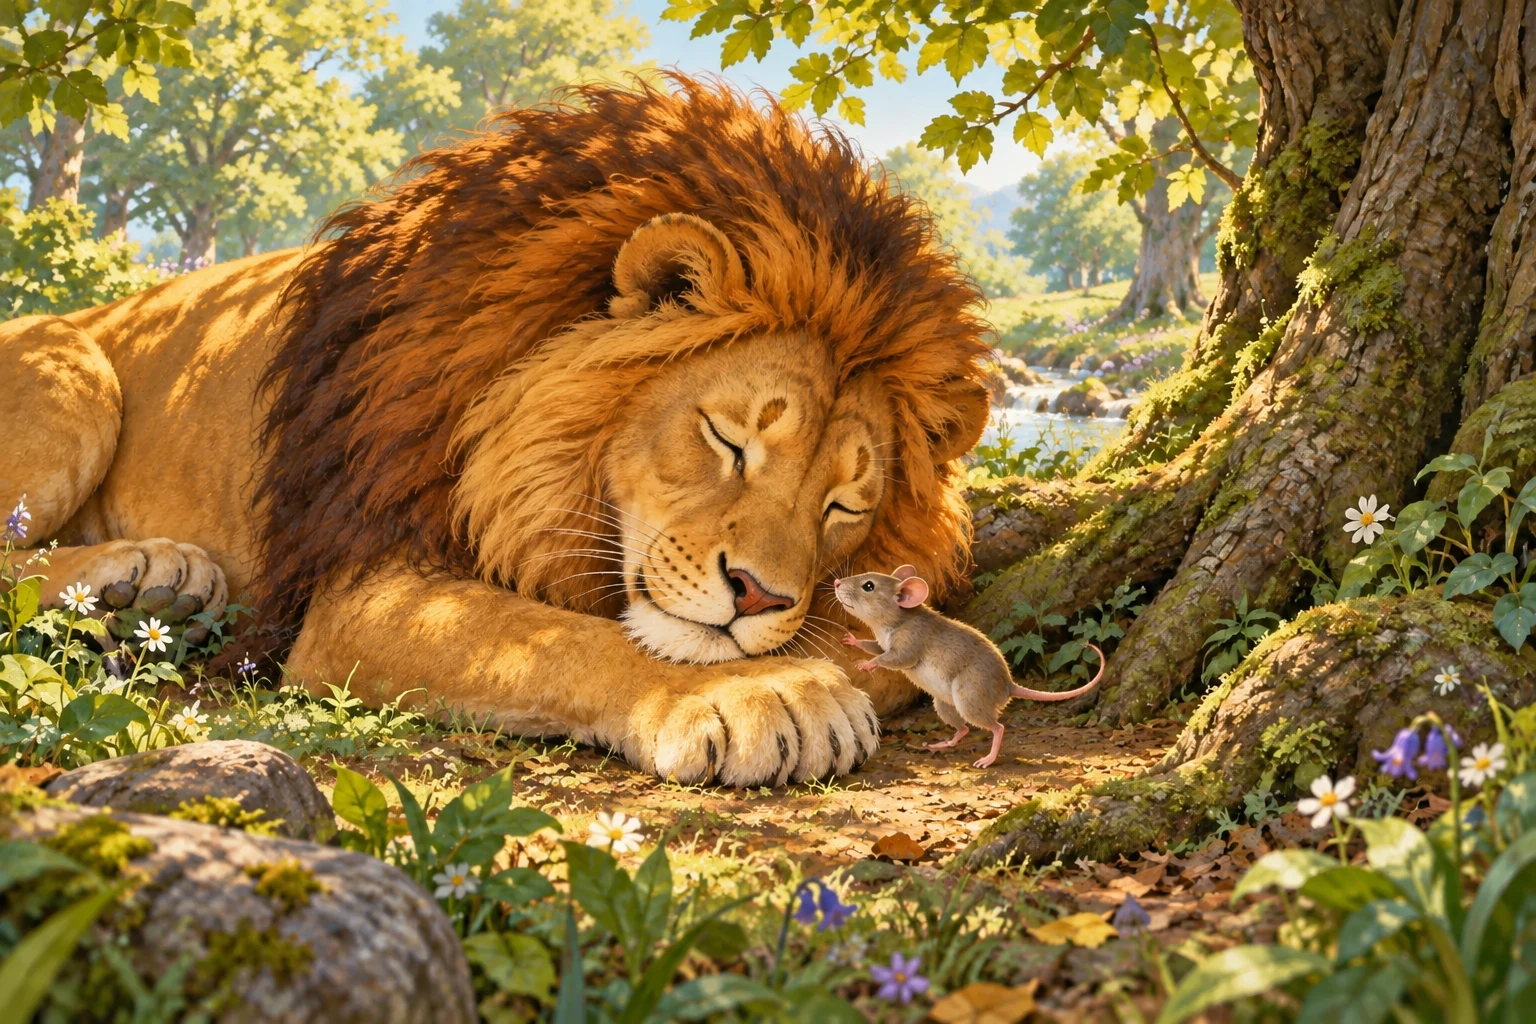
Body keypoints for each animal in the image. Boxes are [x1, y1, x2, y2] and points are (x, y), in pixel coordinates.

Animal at [0, 78, 993, 786]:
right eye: (727, 439)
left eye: (843, 507)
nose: (757, 595)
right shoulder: (364, 574)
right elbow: (561, 637)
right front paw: (760, 694)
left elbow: (879, 649)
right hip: (73, 367)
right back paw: (146, 570)